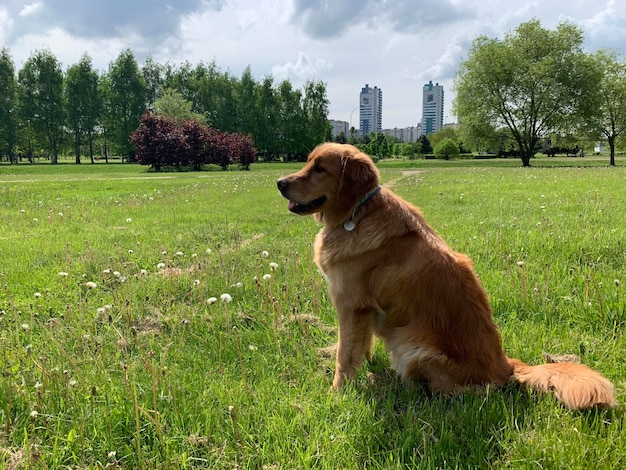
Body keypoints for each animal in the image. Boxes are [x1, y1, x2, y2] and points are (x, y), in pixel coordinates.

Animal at [278, 142, 616, 408]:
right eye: (307, 162)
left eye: (320, 169)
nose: (280, 182)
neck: (357, 214)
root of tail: (506, 366)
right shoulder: (365, 310)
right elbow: (360, 345)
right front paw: (365, 366)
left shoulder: (351, 304)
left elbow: (345, 355)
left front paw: (337, 393)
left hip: (416, 351)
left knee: (467, 393)